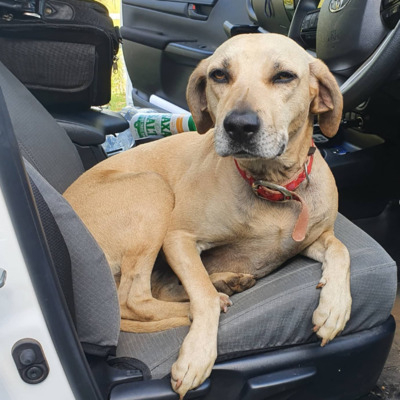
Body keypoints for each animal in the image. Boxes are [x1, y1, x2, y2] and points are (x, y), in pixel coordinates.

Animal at [64, 33, 352, 400]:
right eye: (219, 75)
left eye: (285, 76)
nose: (239, 126)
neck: (270, 185)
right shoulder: (179, 239)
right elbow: (201, 295)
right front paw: (197, 354)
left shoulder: (313, 239)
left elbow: (341, 250)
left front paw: (334, 307)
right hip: (153, 190)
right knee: (137, 299)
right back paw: (209, 298)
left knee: (163, 289)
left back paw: (226, 282)